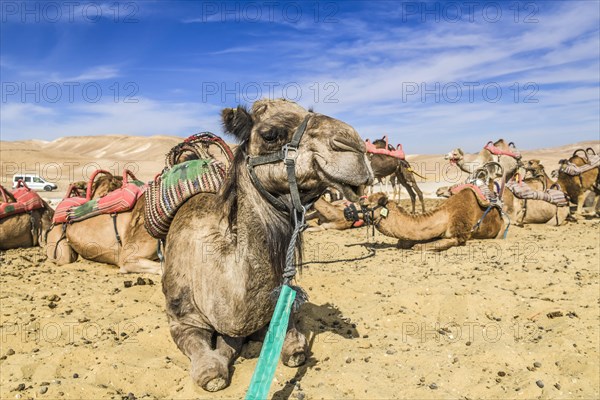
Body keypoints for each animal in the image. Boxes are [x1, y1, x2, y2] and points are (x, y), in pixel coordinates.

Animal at [162, 98, 372, 392]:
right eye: (270, 135)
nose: (355, 147)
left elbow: (293, 350)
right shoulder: (182, 320)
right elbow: (209, 364)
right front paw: (214, 367)